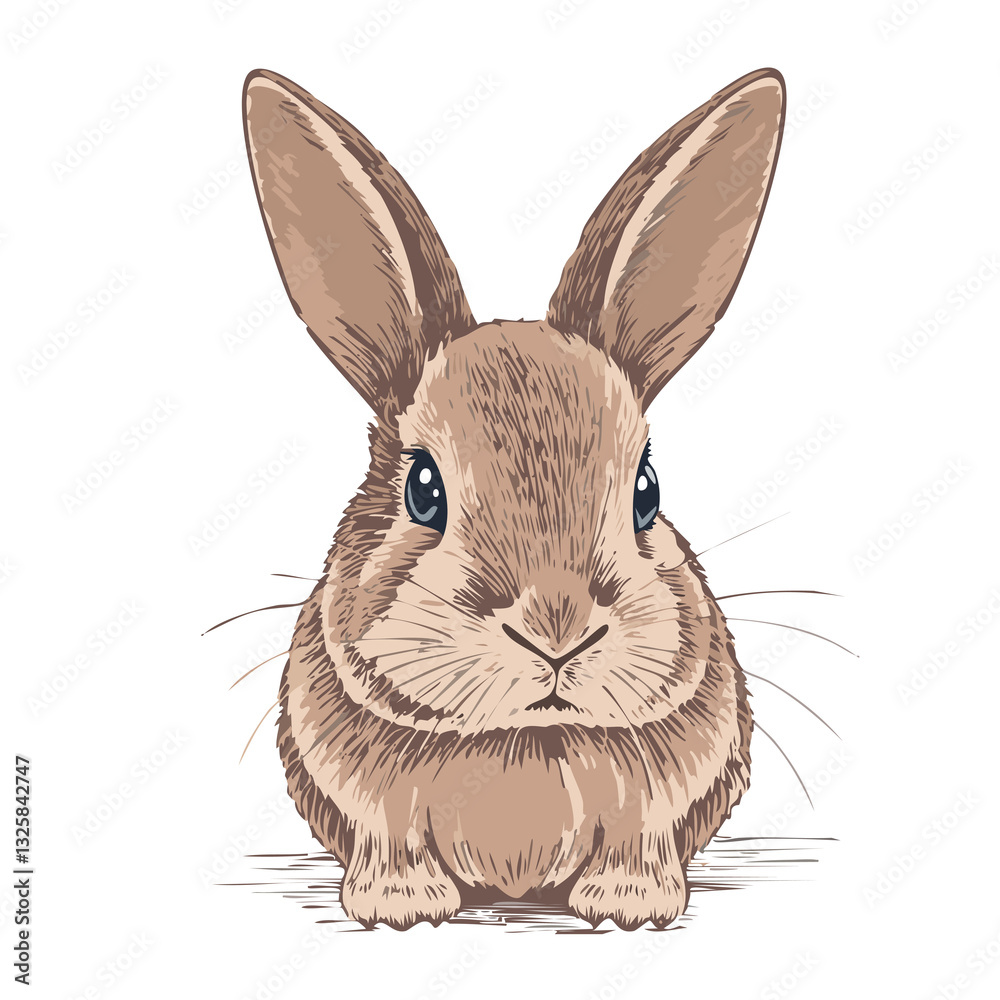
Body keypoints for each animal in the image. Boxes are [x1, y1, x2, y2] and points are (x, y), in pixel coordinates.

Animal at [242, 66, 784, 930]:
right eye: (422, 490)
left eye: (646, 491)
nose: (556, 631)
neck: (526, 740)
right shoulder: (367, 798)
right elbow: (389, 834)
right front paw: (399, 907)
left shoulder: (662, 793)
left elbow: (640, 834)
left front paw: (630, 906)